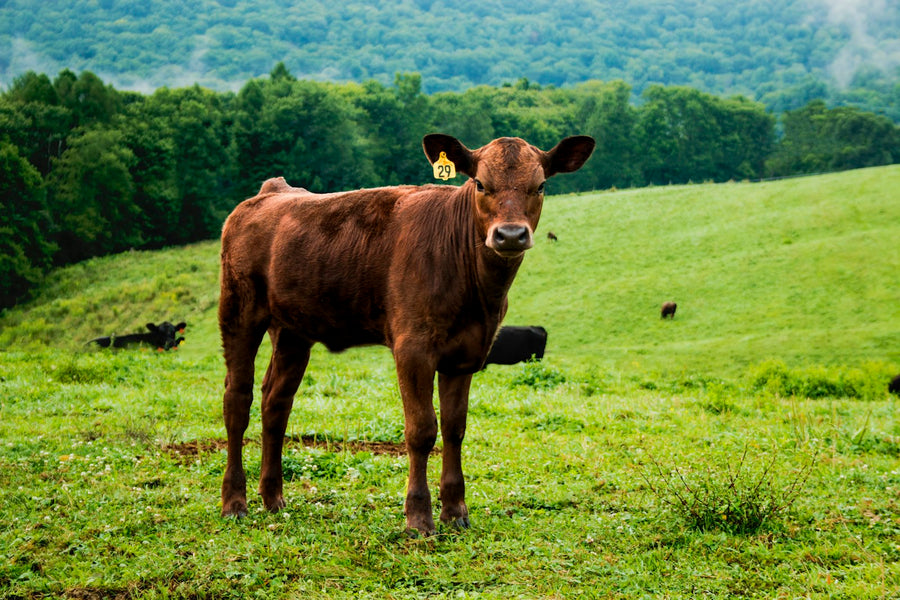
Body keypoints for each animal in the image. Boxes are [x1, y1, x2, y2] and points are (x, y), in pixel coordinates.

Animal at [218, 133, 595, 535]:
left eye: (540, 186)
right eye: (480, 184)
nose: (510, 235)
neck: (477, 292)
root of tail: (273, 191)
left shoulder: (465, 355)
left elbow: (455, 428)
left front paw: (455, 511)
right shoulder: (413, 348)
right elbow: (422, 430)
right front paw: (419, 515)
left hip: (292, 330)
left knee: (276, 403)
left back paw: (273, 498)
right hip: (239, 311)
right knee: (237, 400)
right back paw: (234, 502)